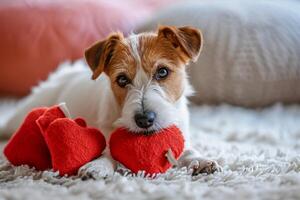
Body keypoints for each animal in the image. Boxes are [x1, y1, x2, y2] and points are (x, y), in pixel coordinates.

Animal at [3, 26, 220, 178]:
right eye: (122, 79)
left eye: (163, 72)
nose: (144, 120)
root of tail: (62, 76)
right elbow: (108, 151)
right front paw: (98, 164)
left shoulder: (181, 133)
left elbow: (188, 149)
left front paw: (201, 160)